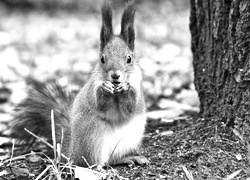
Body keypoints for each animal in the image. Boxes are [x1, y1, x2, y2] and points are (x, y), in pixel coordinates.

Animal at [10, 0, 149, 168]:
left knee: (113, 159)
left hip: (130, 138)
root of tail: (72, 150)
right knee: (94, 161)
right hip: (93, 134)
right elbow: (99, 103)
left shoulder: (137, 88)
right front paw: (104, 88)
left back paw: (130, 158)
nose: (115, 76)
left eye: (129, 59)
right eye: (102, 59)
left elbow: (131, 107)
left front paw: (126, 88)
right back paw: (100, 168)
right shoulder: (92, 89)